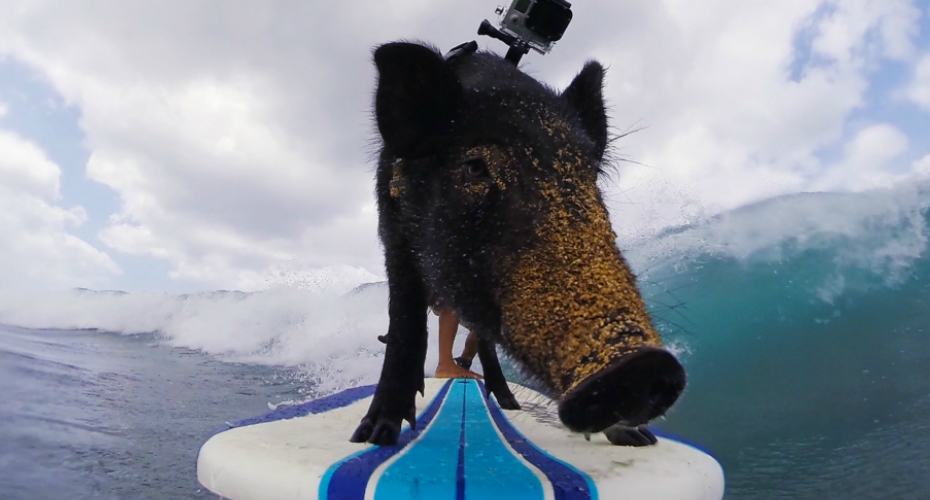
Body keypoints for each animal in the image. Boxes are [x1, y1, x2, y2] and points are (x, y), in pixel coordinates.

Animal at [352, 42, 684, 446]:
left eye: (590, 173)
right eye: (475, 166)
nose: (642, 364)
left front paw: (639, 439)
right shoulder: (394, 235)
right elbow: (404, 322)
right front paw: (373, 436)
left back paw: (509, 403)